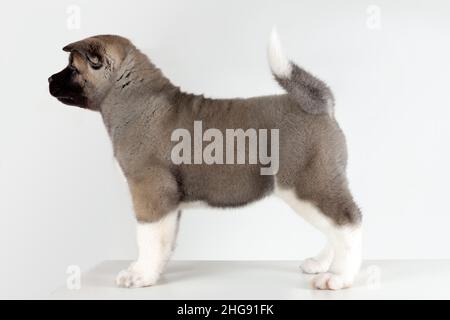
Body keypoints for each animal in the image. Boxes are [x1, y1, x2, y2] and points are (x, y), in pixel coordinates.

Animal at [48, 30, 362, 290]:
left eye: (72, 68)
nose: (49, 79)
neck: (131, 94)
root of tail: (319, 105)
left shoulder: (149, 190)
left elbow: (147, 237)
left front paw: (140, 274)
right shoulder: (167, 199)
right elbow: (165, 240)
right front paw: (154, 271)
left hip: (307, 183)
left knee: (348, 223)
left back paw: (338, 277)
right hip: (321, 183)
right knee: (335, 226)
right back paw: (321, 264)